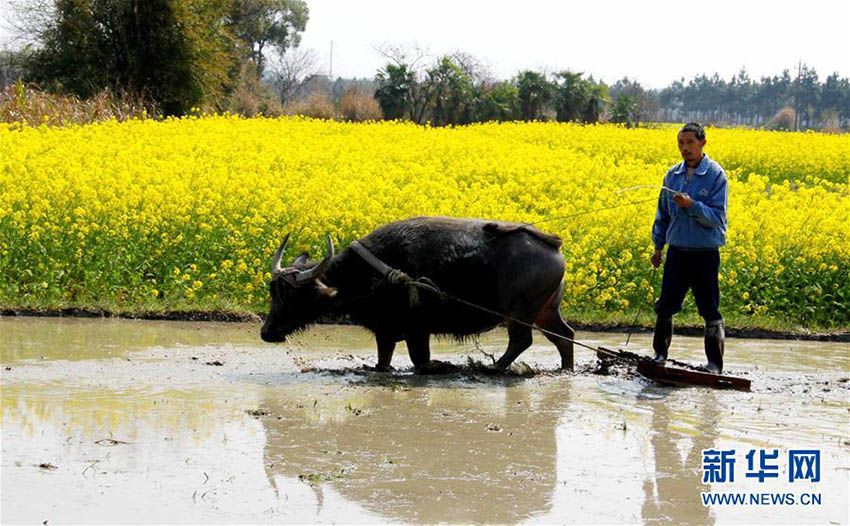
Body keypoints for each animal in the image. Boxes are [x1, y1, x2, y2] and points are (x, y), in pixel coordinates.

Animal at [260, 217, 576, 374]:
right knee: (565, 336)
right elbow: (383, 359)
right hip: (547, 311)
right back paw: (566, 369)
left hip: (520, 312)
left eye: (292, 295)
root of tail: (553, 246)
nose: (266, 332)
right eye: (273, 292)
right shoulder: (384, 331)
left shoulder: (417, 331)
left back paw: (493, 368)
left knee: (521, 341)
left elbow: (420, 361)